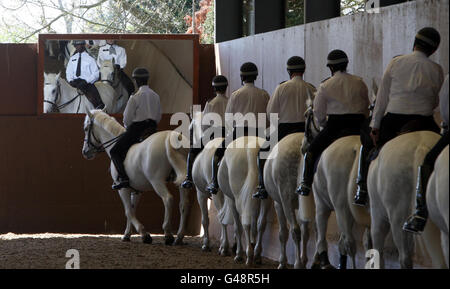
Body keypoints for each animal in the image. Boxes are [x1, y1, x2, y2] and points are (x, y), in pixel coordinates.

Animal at [81, 109, 192, 244]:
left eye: (86, 128)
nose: (85, 152)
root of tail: (170, 137)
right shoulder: (136, 190)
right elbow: (132, 209)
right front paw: (127, 235)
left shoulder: (123, 189)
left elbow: (128, 211)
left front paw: (144, 234)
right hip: (181, 181)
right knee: (184, 204)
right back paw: (179, 237)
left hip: (157, 181)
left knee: (168, 199)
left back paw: (168, 234)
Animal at [217, 136, 270, 264]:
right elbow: (256, 224)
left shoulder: (231, 199)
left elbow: (237, 227)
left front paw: (236, 252)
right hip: (266, 199)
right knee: (261, 224)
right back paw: (256, 255)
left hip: (237, 198)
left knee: (245, 223)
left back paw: (245, 255)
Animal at [262, 132, 314, 268]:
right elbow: (306, 232)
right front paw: (304, 259)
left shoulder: (279, 204)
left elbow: (283, 233)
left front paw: (282, 262)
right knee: (306, 231)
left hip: (286, 201)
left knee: (295, 231)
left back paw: (297, 264)